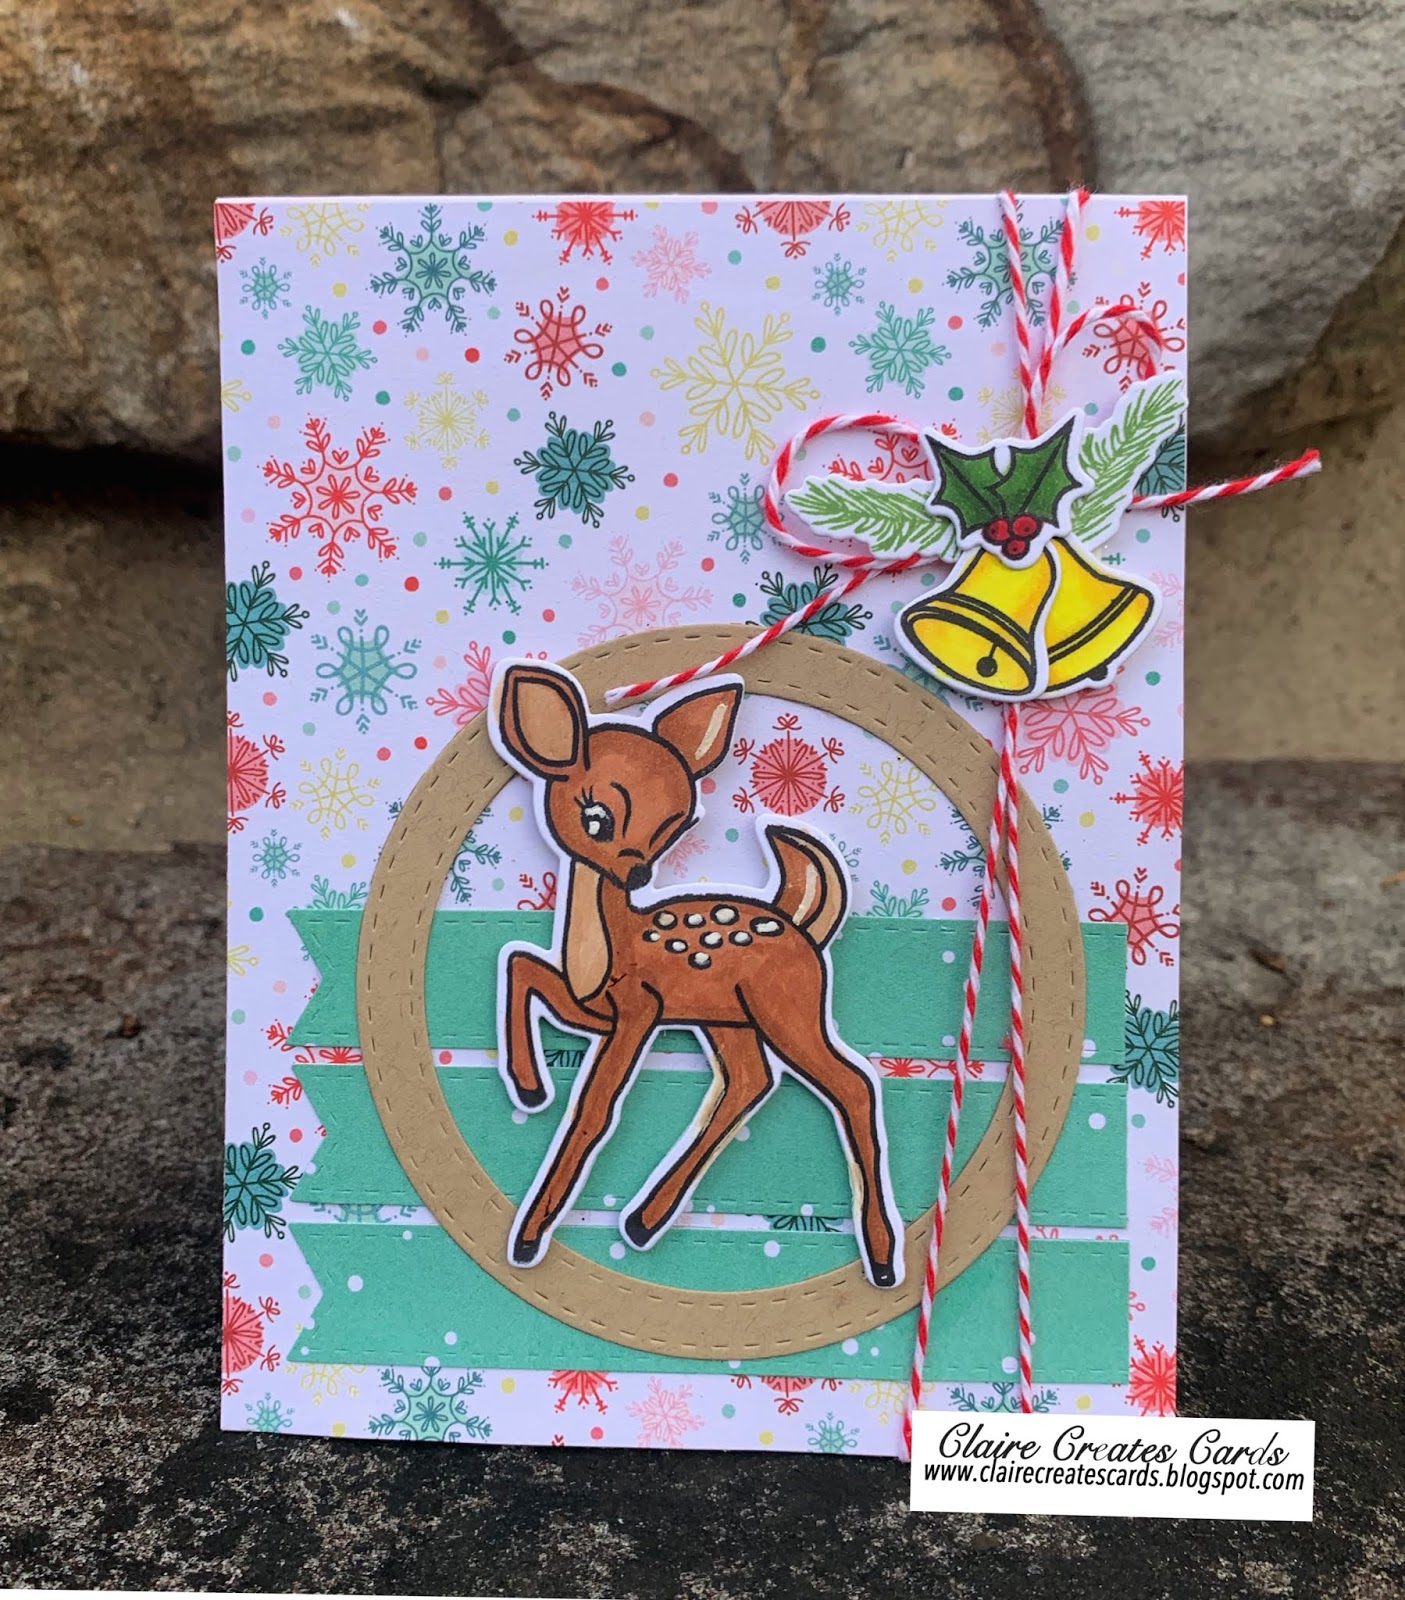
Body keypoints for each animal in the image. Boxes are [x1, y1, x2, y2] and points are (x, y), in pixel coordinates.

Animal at [489, 659, 903, 1289]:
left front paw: (532, 1233)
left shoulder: (638, 1011)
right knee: (751, 1081)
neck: (609, 944)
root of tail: (801, 923)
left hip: (787, 1010)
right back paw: (644, 1219)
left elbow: (593, 1112)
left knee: (852, 1085)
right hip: (727, 1021)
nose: (639, 873)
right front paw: (532, 1084)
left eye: (674, 825)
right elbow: (519, 967)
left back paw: (880, 1256)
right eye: (596, 818)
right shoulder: (589, 1005)